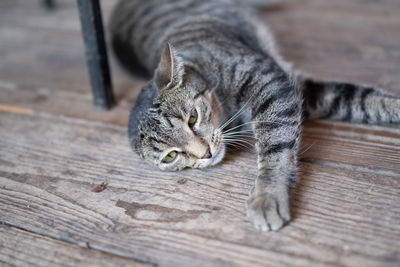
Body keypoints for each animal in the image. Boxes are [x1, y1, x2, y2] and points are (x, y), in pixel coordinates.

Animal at [109, 0, 400, 231]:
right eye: (171, 157)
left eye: (192, 118)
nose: (206, 154)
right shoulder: (300, 92)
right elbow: (358, 100)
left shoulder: (273, 85)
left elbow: (275, 147)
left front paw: (267, 195)